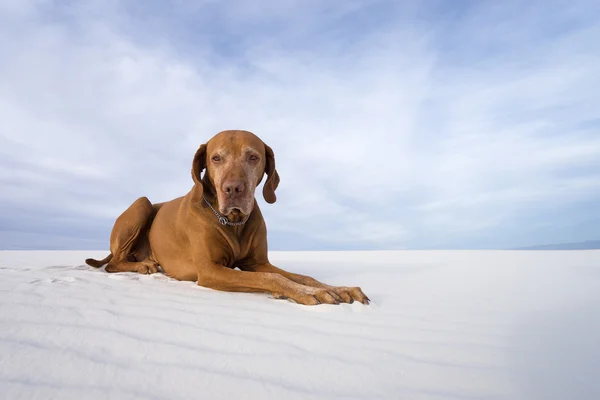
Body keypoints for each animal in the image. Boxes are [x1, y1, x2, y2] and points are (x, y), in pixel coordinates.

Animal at [86, 130, 368, 304]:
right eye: (216, 158)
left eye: (253, 157)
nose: (233, 189)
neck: (232, 221)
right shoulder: (210, 270)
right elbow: (271, 278)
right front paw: (309, 293)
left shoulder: (257, 263)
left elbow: (297, 275)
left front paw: (336, 288)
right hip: (141, 204)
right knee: (112, 264)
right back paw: (142, 266)